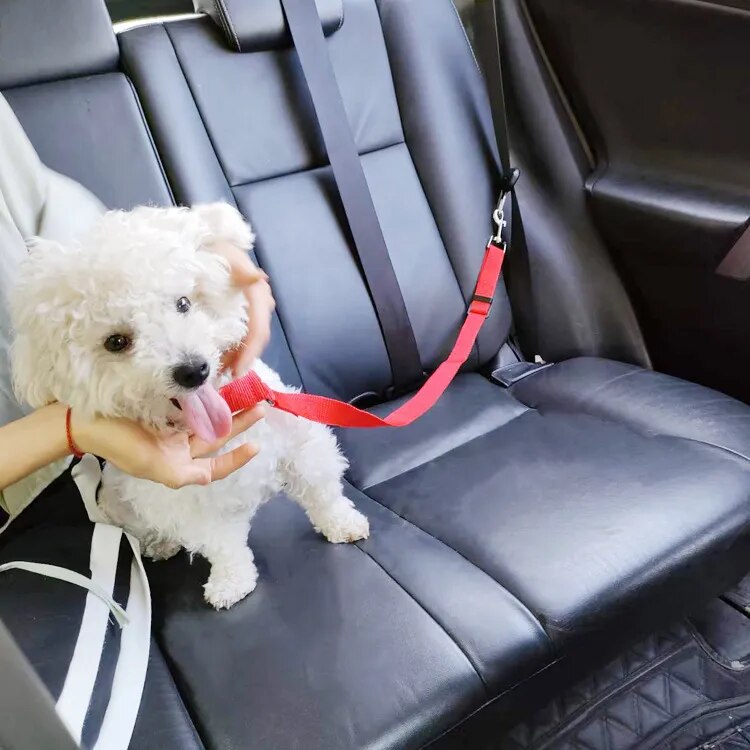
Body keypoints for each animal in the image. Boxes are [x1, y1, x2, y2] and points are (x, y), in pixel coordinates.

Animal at [13, 203, 372, 608]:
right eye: (116, 341)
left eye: (183, 303)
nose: (193, 370)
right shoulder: (189, 502)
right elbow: (223, 546)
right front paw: (232, 582)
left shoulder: (300, 443)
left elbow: (322, 490)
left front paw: (343, 523)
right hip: (121, 499)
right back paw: (160, 543)